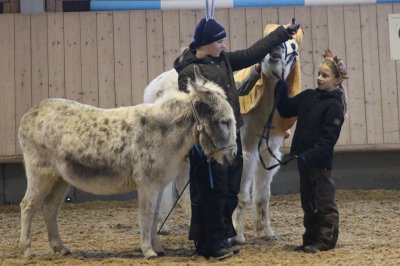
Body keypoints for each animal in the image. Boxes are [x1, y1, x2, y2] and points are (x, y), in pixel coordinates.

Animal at [145, 25, 304, 243]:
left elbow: (263, 195)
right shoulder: (246, 153)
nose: (274, 52)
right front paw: (237, 235)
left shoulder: (267, 155)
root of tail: (154, 85)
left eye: (294, 48)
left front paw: (266, 231)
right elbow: (242, 196)